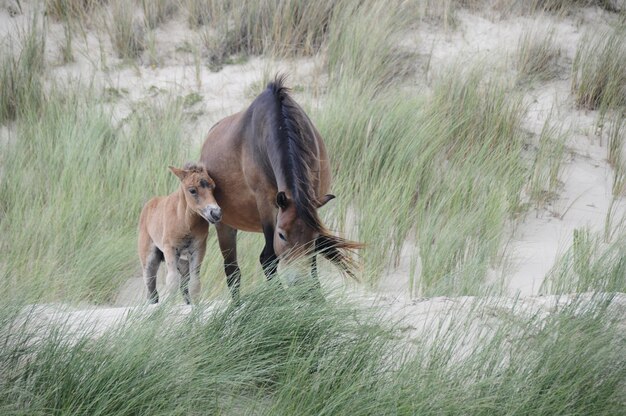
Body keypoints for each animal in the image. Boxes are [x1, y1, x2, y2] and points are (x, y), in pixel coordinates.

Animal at [137, 162, 222, 302]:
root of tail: (148, 205)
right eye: (192, 190)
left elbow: (194, 284)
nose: (216, 213)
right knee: (151, 288)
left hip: (183, 263)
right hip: (149, 258)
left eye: (213, 187)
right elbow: (172, 281)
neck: (185, 221)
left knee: (184, 286)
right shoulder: (170, 249)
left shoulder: (198, 249)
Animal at [200, 75, 360, 300]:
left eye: (312, 237)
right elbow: (268, 258)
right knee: (232, 271)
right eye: (282, 235)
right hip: (224, 225)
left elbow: (312, 259)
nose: (298, 283)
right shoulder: (267, 205)